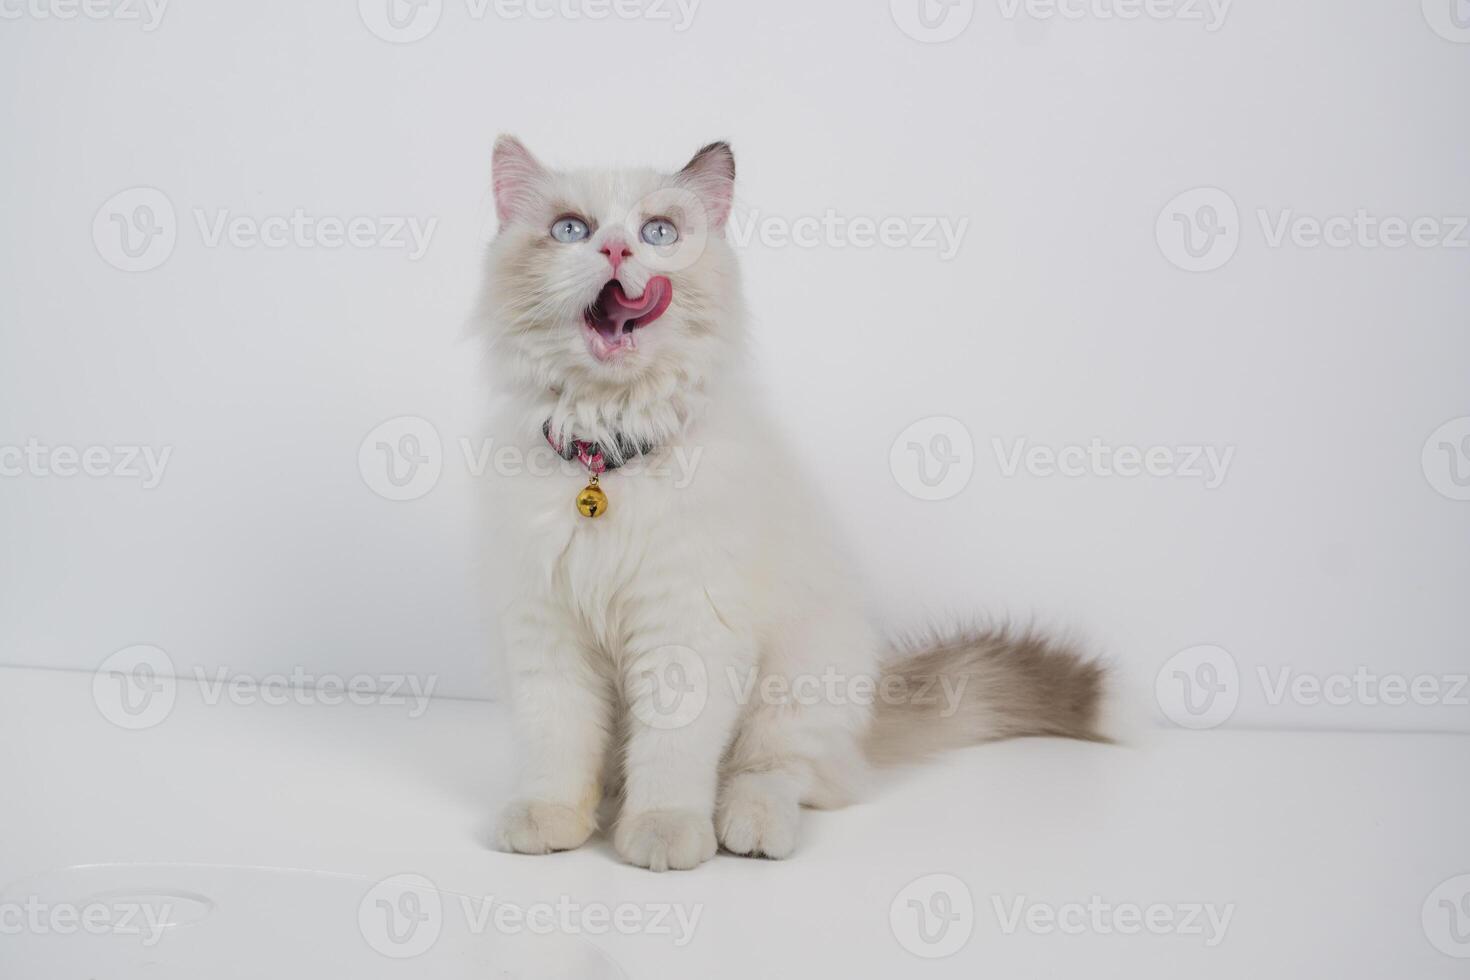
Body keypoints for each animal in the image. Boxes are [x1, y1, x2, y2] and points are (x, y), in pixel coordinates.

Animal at [476, 132, 1105, 875]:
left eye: (659, 233)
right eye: (571, 230)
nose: (617, 251)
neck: (608, 455)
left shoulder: (687, 626)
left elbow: (671, 754)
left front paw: (663, 835)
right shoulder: (547, 630)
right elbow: (559, 743)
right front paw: (548, 821)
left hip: (797, 685)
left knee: (775, 775)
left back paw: (745, 829)